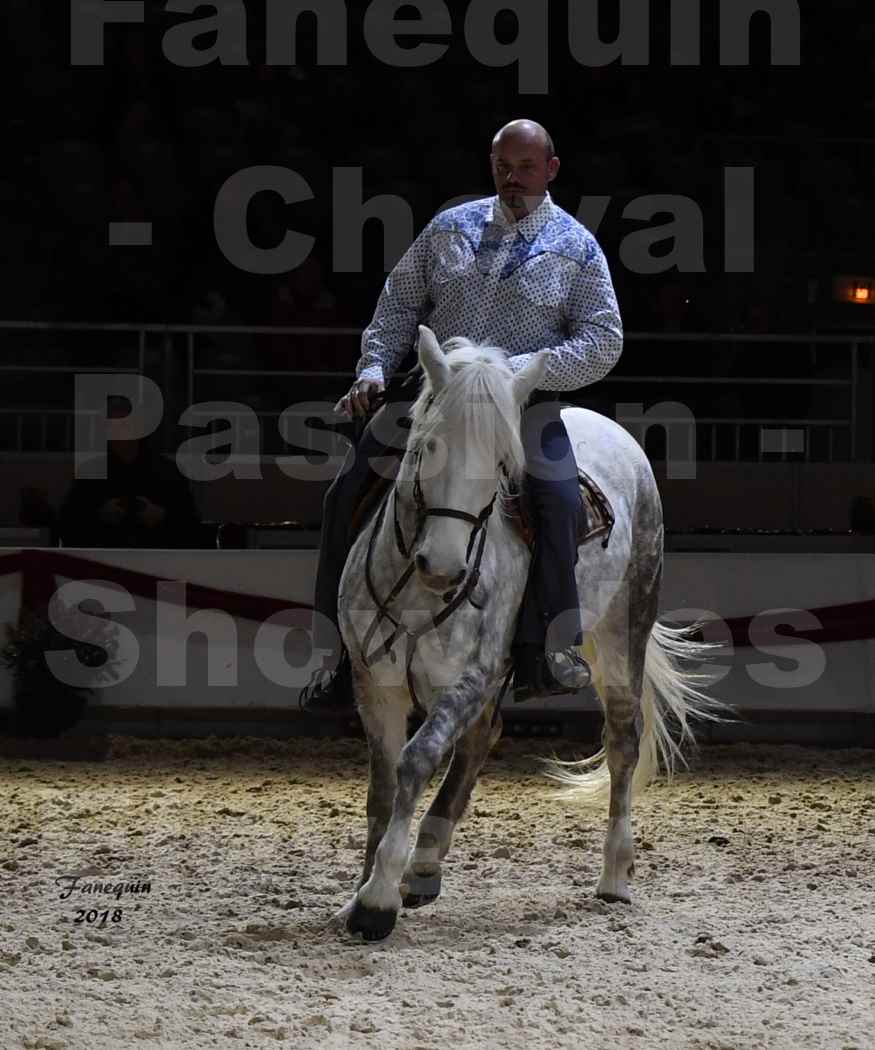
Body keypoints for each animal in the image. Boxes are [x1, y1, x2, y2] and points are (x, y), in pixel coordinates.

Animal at [334, 325, 722, 942]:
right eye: (428, 447)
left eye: (501, 462)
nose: (444, 567)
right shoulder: (376, 682)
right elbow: (383, 784)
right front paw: (363, 891)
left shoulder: (471, 676)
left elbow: (416, 761)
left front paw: (376, 900)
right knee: (481, 738)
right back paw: (426, 865)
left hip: (623, 630)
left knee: (623, 741)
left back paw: (614, 876)